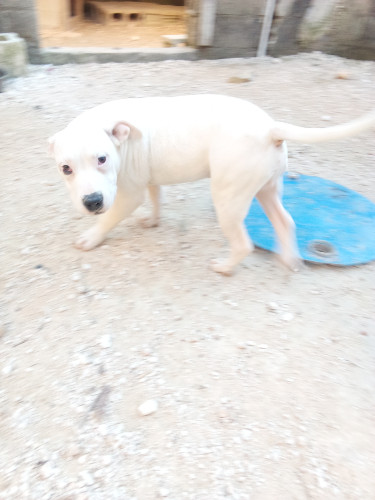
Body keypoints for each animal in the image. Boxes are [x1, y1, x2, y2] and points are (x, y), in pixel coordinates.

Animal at [49, 92, 375, 276]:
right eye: (66, 169)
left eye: (102, 159)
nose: (92, 202)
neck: (120, 138)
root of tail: (271, 128)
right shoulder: (149, 179)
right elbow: (156, 198)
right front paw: (153, 221)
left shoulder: (128, 195)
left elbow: (109, 218)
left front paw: (91, 237)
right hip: (267, 188)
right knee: (285, 222)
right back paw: (289, 259)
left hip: (228, 199)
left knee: (243, 243)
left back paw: (226, 267)